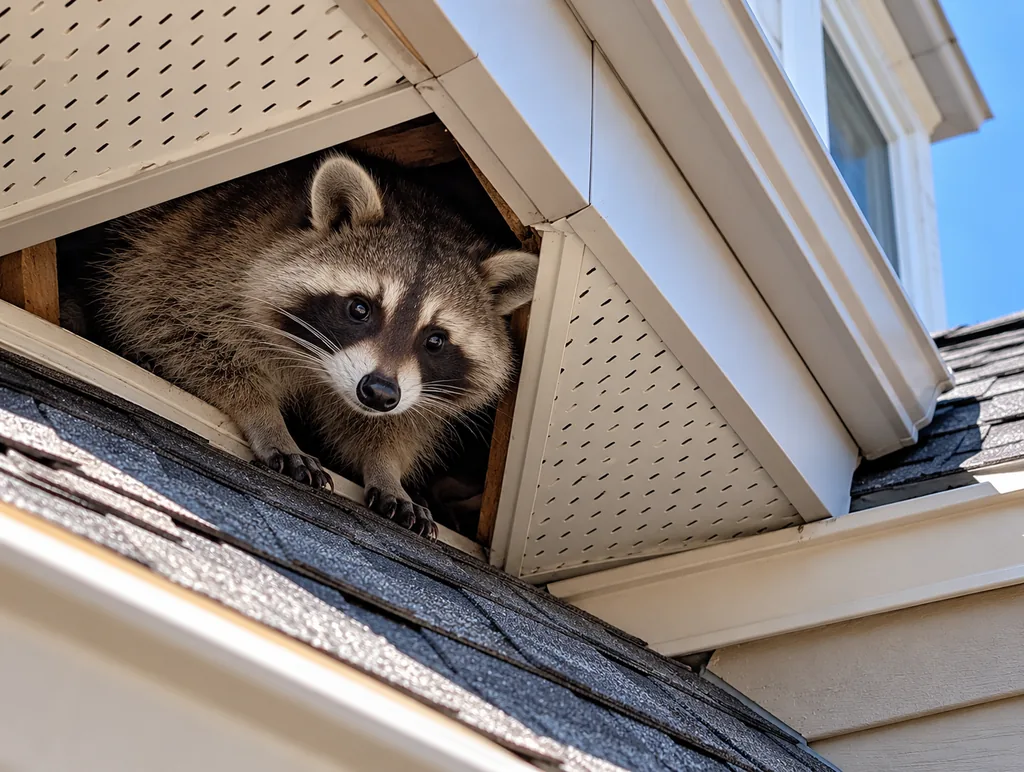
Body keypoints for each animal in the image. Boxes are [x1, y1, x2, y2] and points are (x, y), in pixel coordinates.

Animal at [96, 151, 538, 538]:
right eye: (360, 308)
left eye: (435, 340)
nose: (379, 392)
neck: (320, 369)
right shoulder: (207, 264)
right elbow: (183, 331)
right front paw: (265, 418)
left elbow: (391, 427)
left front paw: (386, 469)